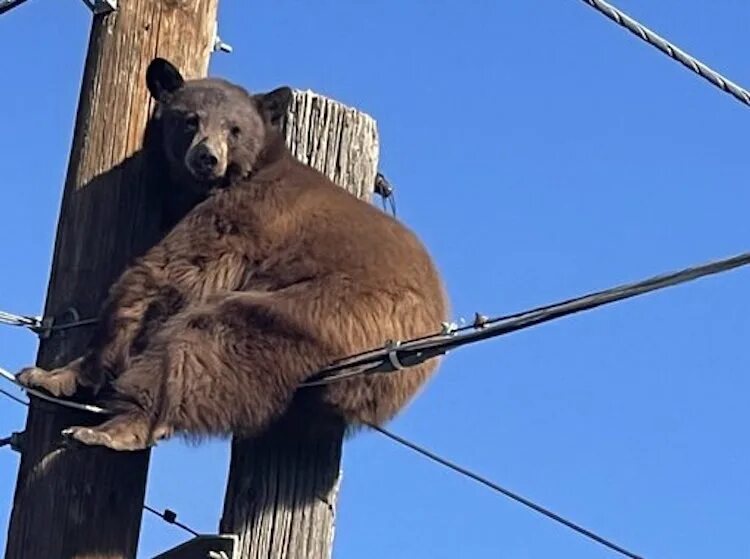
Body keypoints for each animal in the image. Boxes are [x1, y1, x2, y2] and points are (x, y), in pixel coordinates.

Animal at [17, 58, 452, 450]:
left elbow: (168, 274)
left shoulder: (242, 217)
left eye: (234, 128)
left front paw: (53, 375)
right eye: (190, 120)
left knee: (209, 340)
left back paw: (118, 428)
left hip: (337, 311)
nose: (206, 157)